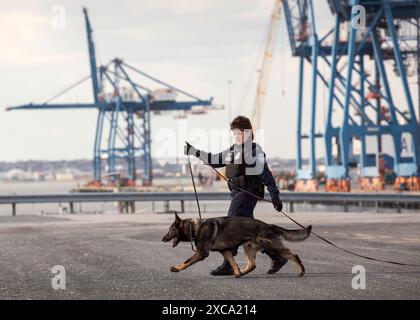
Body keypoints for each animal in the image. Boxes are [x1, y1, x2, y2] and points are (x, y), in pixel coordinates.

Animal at [162, 214, 312, 278]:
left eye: (170, 230)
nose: (162, 239)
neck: (195, 227)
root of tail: (269, 225)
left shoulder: (201, 253)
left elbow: (186, 261)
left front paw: (176, 268)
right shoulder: (225, 251)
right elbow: (233, 262)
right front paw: (237, 272)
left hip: (272, 246)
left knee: (293, 255)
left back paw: (302, 271)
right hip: (248, 247)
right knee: (252, 265)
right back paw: (241, 272)